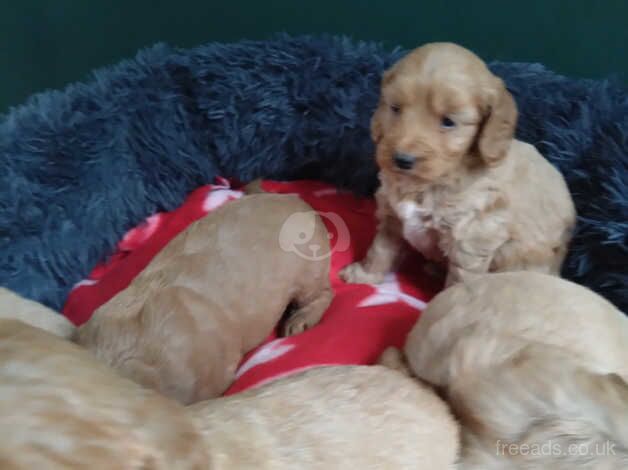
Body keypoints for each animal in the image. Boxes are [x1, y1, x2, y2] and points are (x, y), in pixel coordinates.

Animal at [340, 43, 576, 286]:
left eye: (448, 122)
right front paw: (364, 275)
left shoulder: (471, 239)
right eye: (395, 108)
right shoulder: (392, 217)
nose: (402, 160)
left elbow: (459, 281)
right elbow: (380, 249)